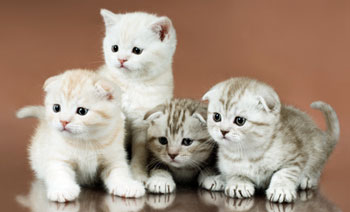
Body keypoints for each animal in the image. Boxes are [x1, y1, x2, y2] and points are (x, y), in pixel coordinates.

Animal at [16, 69, 145, 202]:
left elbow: (119, 172)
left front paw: (127, 185)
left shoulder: (114, 157)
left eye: (82, 111)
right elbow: (59, 172)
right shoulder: (57, 157)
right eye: (56, 108)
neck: (86, 141)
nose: (63, 121)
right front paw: (63, 190)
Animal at [97, 9, 176, 182]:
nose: (121, 59)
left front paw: (137, 175)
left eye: (137, 50)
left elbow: (140, 153)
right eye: (114, 48)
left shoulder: (143, 123)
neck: (131, 85)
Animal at [202, 77, 340, 203]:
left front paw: (281, 190)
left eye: (240, 120)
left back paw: (307, 179)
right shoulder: (227, 165)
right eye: (216, 117)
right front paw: (238, 184)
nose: (223, 131)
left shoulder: (296, 156)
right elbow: (234, 174)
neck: (248, 153)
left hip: (317, 150)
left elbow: (283, 173)